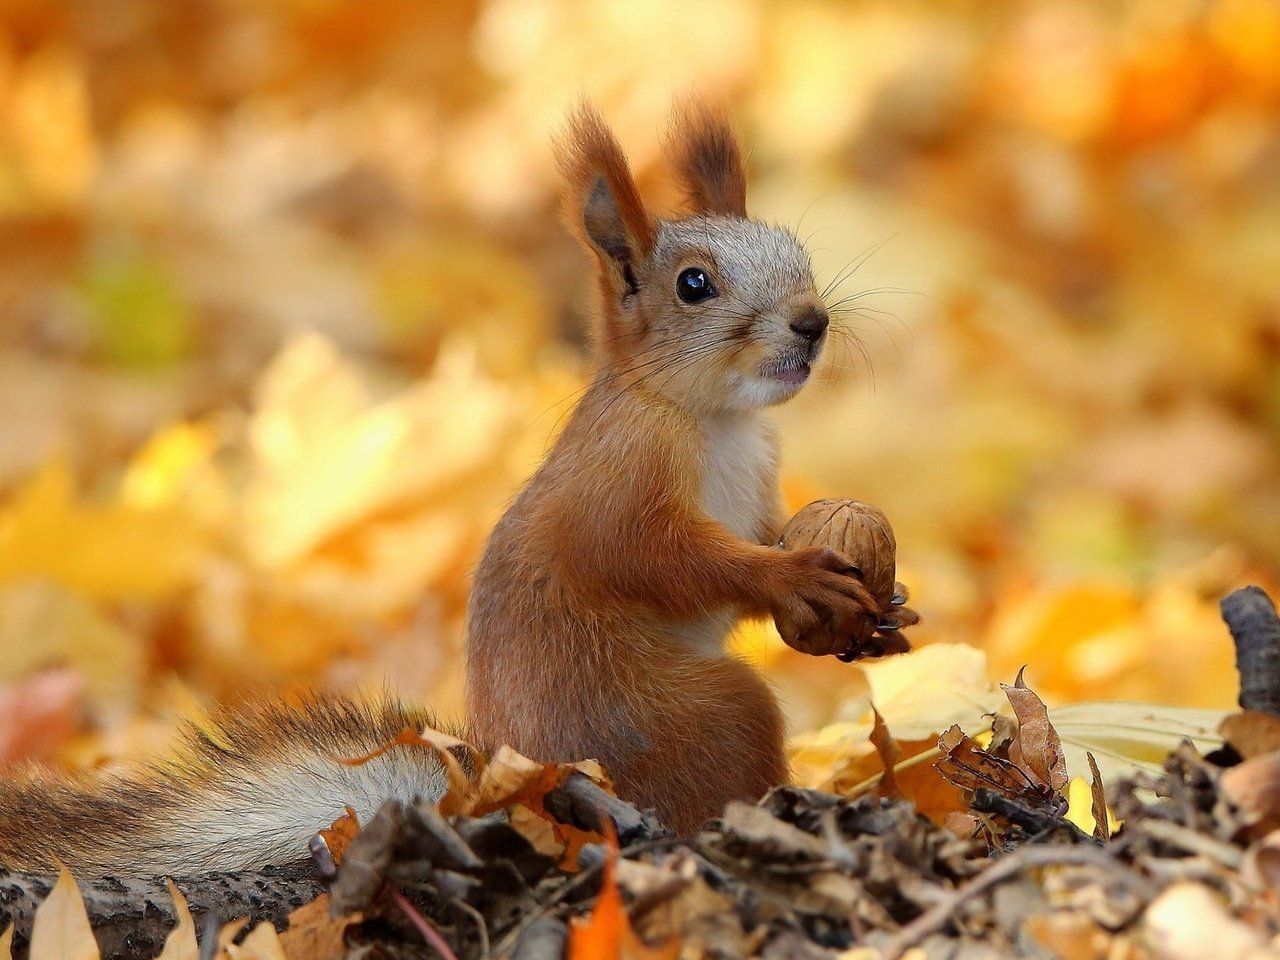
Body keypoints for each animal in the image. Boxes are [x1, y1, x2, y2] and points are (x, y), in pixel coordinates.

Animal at [0, 99, 880, 880]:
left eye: (794, 246)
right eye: (695, 285)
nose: (811, 321)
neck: (713, 420)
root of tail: (517, 793)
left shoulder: (758, 481)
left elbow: (764, 532)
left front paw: (866, 603)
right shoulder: (620, 485)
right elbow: (661, 560)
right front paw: (790, 577)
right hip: (686, 718)